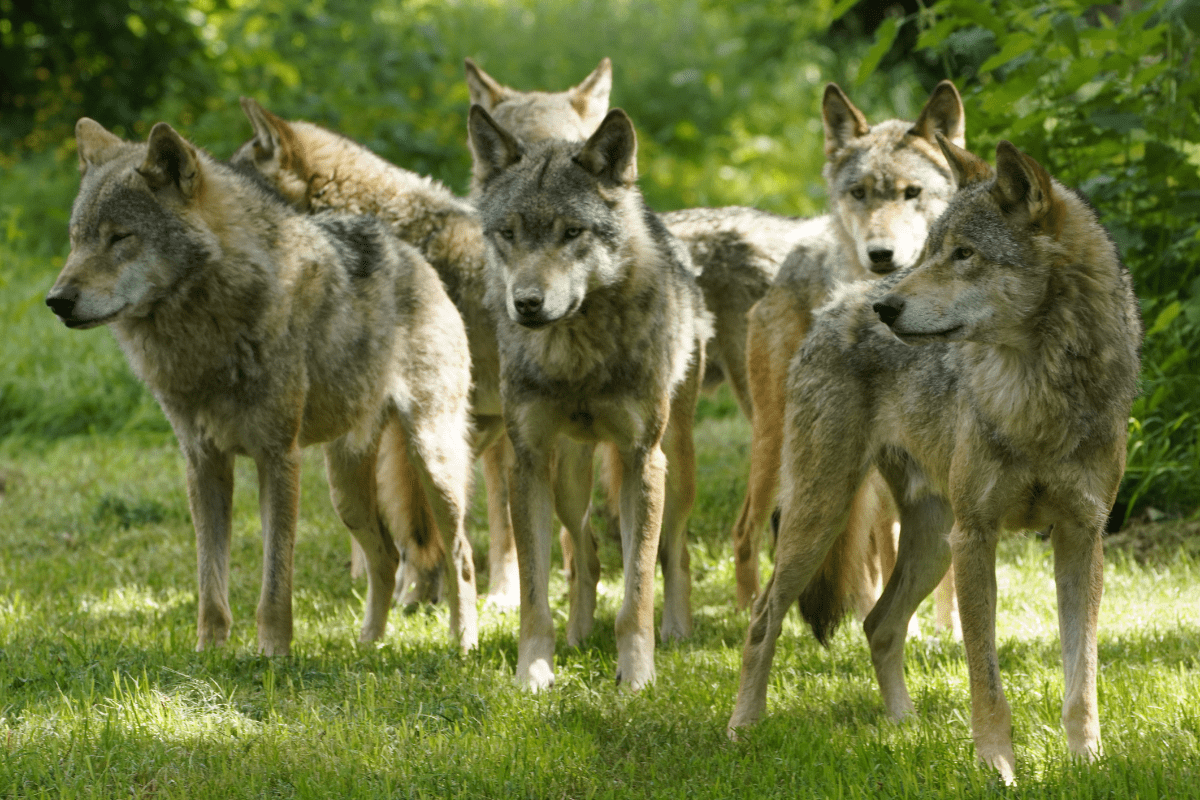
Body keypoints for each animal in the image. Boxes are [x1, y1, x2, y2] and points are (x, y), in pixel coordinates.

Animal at [47, 118, 478, 655]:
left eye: (120, 237)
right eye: (76, 239)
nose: (56, 301)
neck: (207, 330)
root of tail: (413, 256)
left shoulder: (277, 458)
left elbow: (276, 580)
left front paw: (273, 653)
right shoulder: (204, 463)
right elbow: (210, 582)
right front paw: (209, 654)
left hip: (432, 464)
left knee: (461, 555)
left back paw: (463, 644)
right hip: (346, 493)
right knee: (386, 558)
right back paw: (368, 646)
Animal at [468, 104, 712, 691]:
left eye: (572, 232)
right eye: (508, 233)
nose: (526, 303)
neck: (576, 357)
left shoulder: (642, 460)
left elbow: (637, 589)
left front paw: (638, 676)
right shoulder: (528, 464)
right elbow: (535, 594)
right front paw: (533, 673)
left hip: (675, 467)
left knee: (674, 552)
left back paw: (677, 631)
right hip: (567, 480)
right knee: (587, 556)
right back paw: (579, 635)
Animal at [728, 137, 1142, 783]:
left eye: (964, 254)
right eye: (929, 253)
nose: (886, 308)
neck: (1036, 390)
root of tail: (836, 303)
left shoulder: (1081, 536)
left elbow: (1082, 678)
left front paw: (1087, 765)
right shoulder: (978, 537)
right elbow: (986, 681)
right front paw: (998, 770)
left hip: (928, 544)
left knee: (878, 624)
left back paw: (905, 727)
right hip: (821, 518)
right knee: (763, 619)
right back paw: (743, 728)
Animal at [732, 81, 967, 620]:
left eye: (912, 193)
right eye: (859, 193)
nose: (880, 254)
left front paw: (949, 629)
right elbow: (886, 552)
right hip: (786, 452)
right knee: (746, 532)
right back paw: (747, 611)